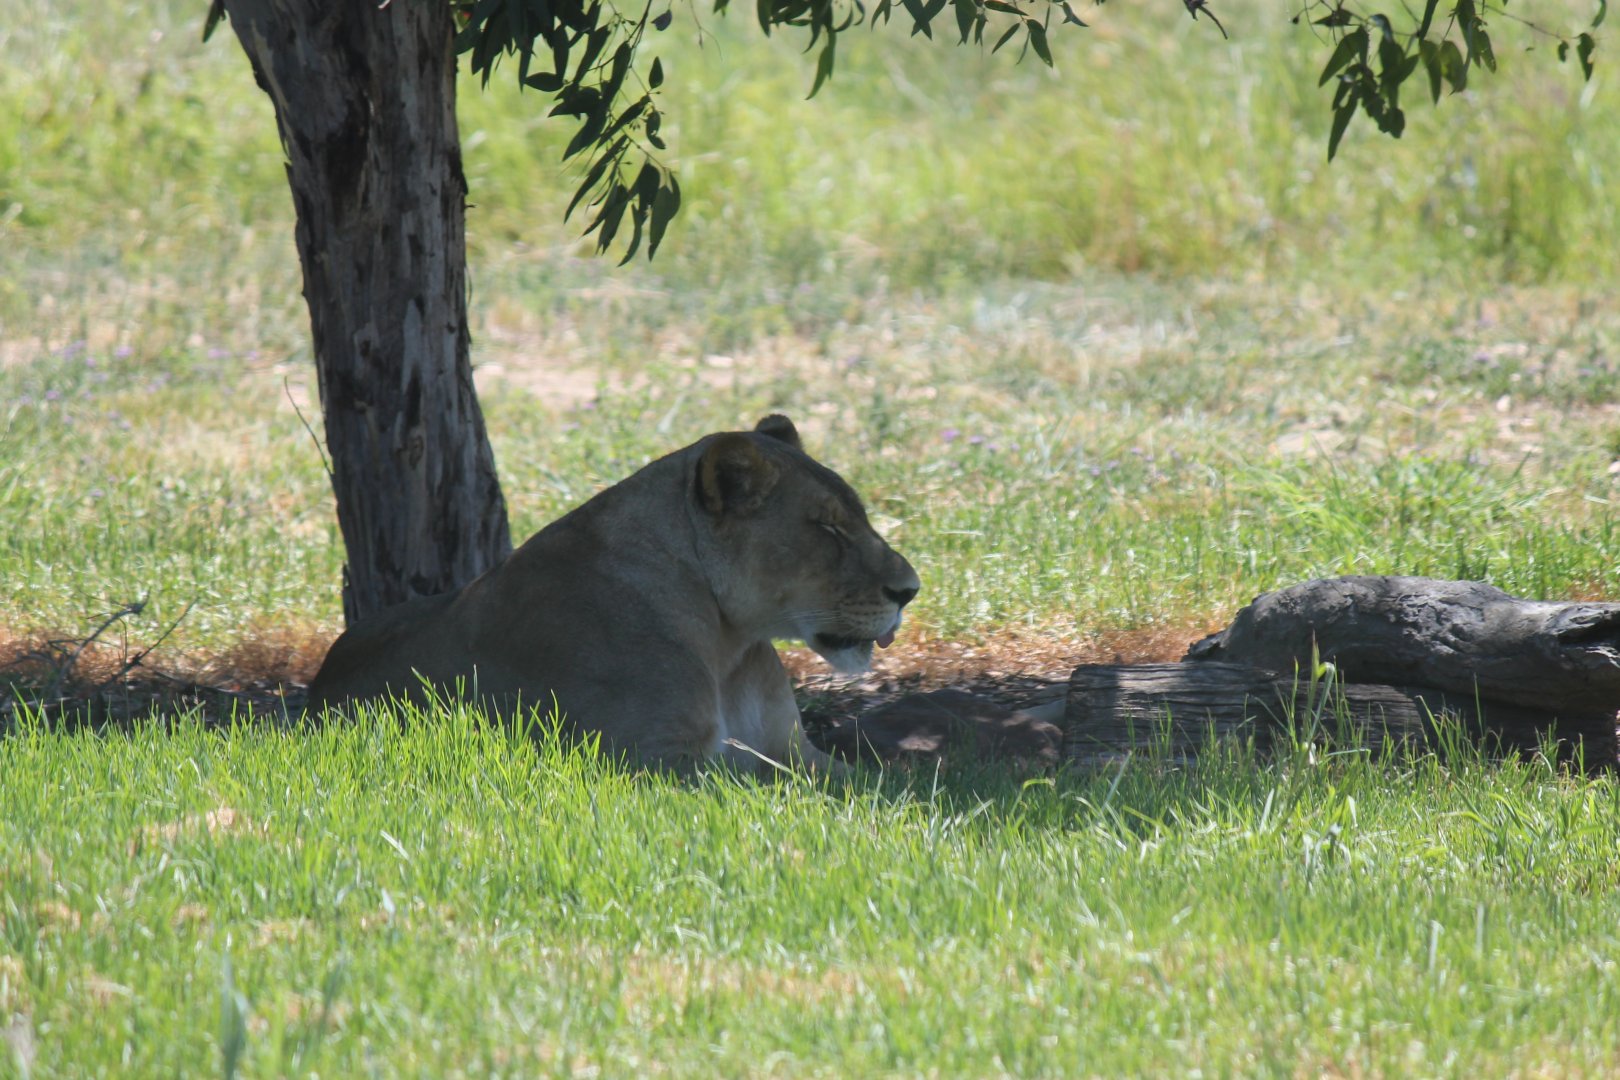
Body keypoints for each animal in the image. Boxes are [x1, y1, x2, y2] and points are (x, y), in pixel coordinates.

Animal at [306, 414, 919, 775]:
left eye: (857, 516)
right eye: (828, 528)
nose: (910, 591)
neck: (729, 644)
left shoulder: (794, 747)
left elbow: (866, 781)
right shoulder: (656, 762)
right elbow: (782, 786)